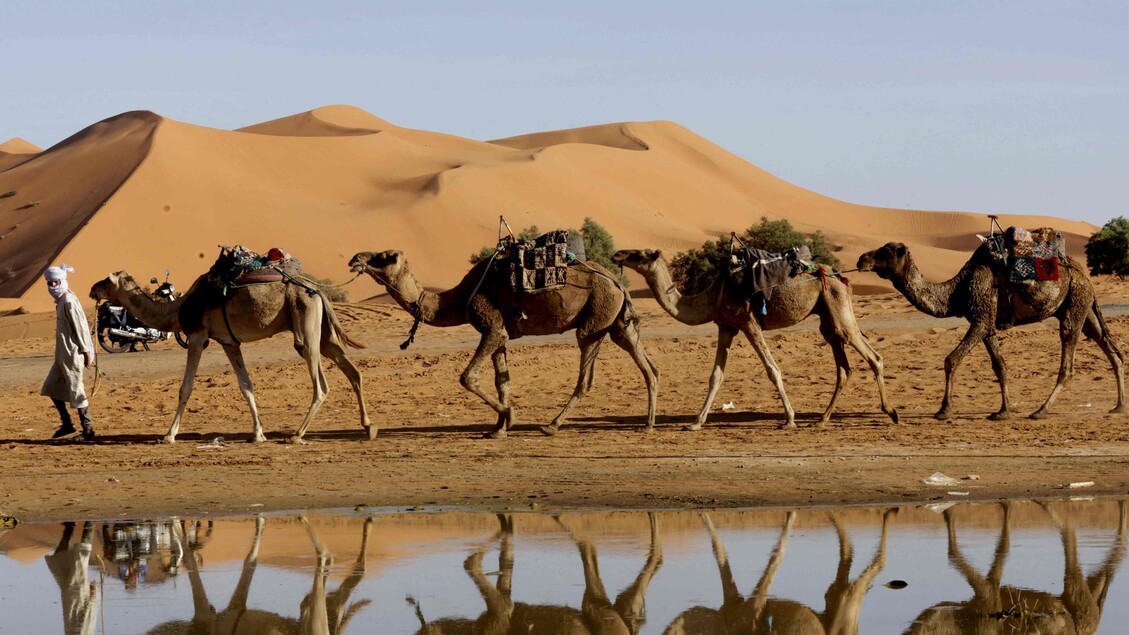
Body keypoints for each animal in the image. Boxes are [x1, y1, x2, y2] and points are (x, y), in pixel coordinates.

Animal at [90, 267, 370, 440]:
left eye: (105, 281)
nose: (92, 288)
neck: (176, 309)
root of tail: (318, 290)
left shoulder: (197, 336)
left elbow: (185, 388)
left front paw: (169, 435)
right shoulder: (229, 343)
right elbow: (246, 385)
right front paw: (258, 433)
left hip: (306, 323)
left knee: (320, 382)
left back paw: (297, 435)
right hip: (321, 331)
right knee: (352, 370)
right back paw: (369, 426)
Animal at [347, 247, 659, 433]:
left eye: (384, 256)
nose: (355, 259)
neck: (460, 297)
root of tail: (617, 282)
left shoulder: (491, 328)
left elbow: (467, 377)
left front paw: (510, 416)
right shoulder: (501, 334)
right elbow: (502, 381)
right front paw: (499, 427)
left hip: (595, 319)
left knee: (586, 377)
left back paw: (552, 425)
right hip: (616, 323)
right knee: (648, 367)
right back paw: (648, 423)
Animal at [614, 249, 894, 427]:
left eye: (639, 254)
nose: (617, 253)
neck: (712, 296)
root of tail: (838, 275)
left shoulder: (749, 323)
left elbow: (772, 369)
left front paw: (789, 419)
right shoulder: (726, 327)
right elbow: (716, 375)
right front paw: (696, 422)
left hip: (836, 306)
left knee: (873, 356)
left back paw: (890, 412)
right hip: (828, 315)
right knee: (844, 366)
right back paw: (822, 419)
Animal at [858, 241, 1124, 420]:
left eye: (886, 251)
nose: (861, 259)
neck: (958, 290)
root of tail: (1082, 273)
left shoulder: (981, 318)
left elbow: (951, 360)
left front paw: (944, 410)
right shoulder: (987, 324)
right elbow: (1000, 366)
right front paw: (1003, 411)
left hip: (1074, 304)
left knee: (1068, 360)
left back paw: (1041, 410)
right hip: (1084, 307)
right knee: (1111, 349)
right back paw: (1118, 406)